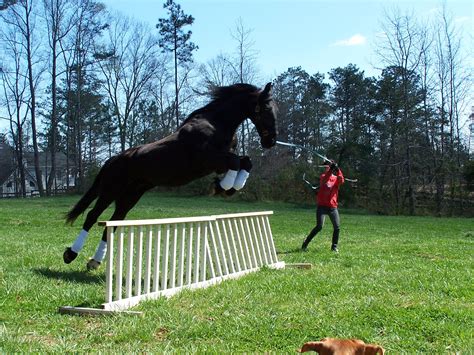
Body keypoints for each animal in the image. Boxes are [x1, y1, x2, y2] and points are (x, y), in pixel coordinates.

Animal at [63, 82, 278, 270]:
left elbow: (245, 162)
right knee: (92, 216)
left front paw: (228, 187)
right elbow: (236, 162)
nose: (271, 142)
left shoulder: (221, 159)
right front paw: (223, 188)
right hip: (111, 190)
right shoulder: (209, 159)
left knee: (114, 222)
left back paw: (95, 261)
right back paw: (71, 254)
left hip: (130, 196)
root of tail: (113, 159)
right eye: (266, 109)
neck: (216, 123)